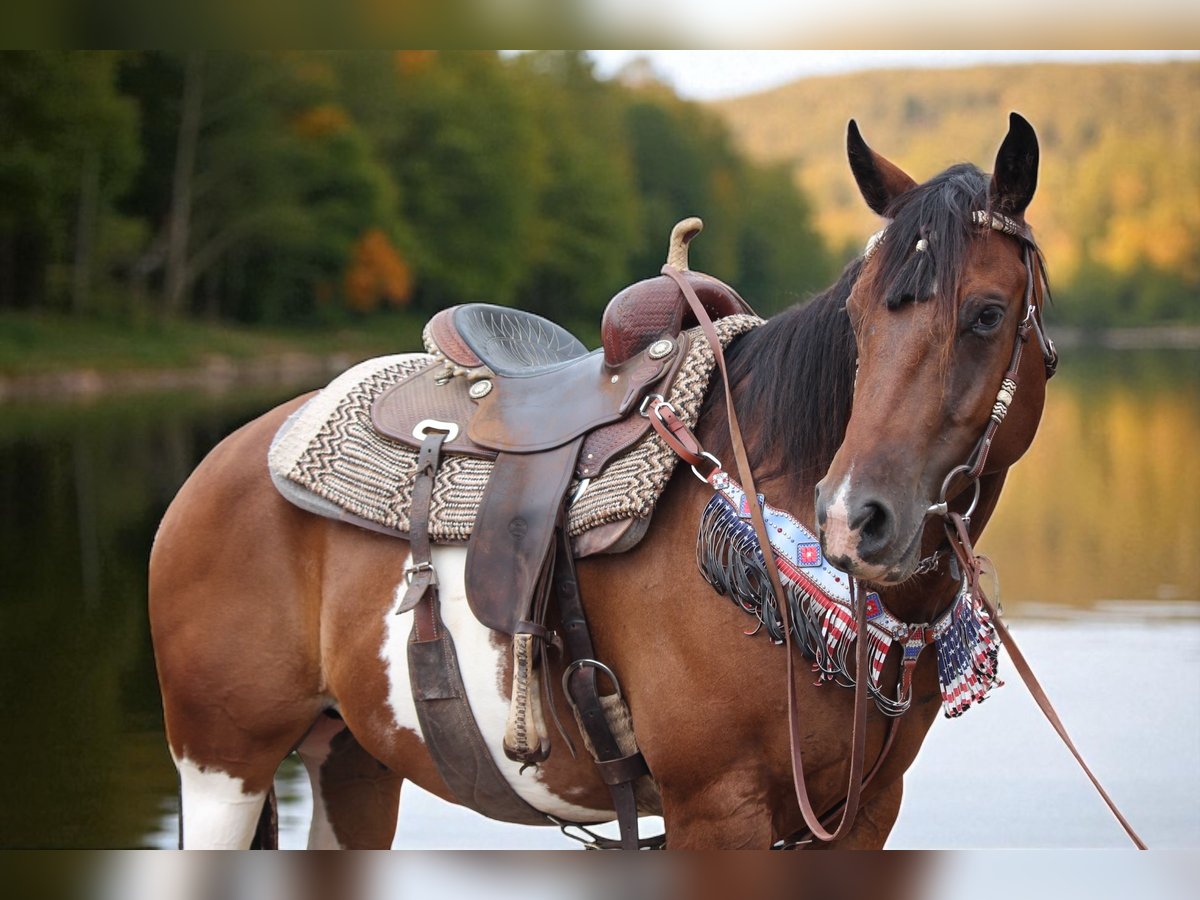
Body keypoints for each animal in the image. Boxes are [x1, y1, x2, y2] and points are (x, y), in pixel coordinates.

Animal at [149, 113, 1054, 849]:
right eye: (857, 317)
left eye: (986, 314)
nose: (851, 520)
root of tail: (225, 459)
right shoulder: (715, 810)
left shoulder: (866, 813)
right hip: (222, 766)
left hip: (351, 761)